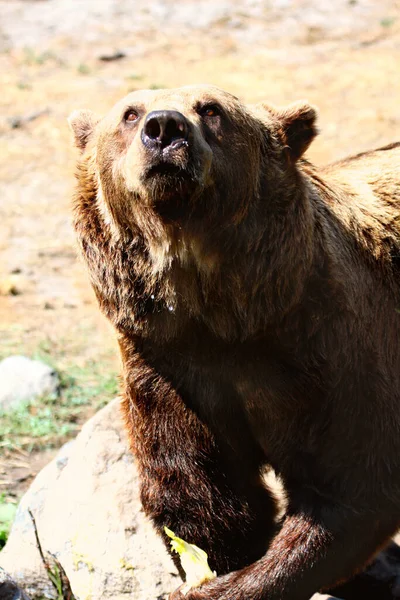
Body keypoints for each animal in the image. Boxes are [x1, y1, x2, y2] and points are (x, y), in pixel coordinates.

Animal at [69, 85, 400, 600]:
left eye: (211, 109)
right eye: (129, 113)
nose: (164, 127)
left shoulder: (326, 343)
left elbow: (348, 482)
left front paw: (225, 585)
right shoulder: (167, 361)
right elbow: (201, 495)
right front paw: (209, 565)